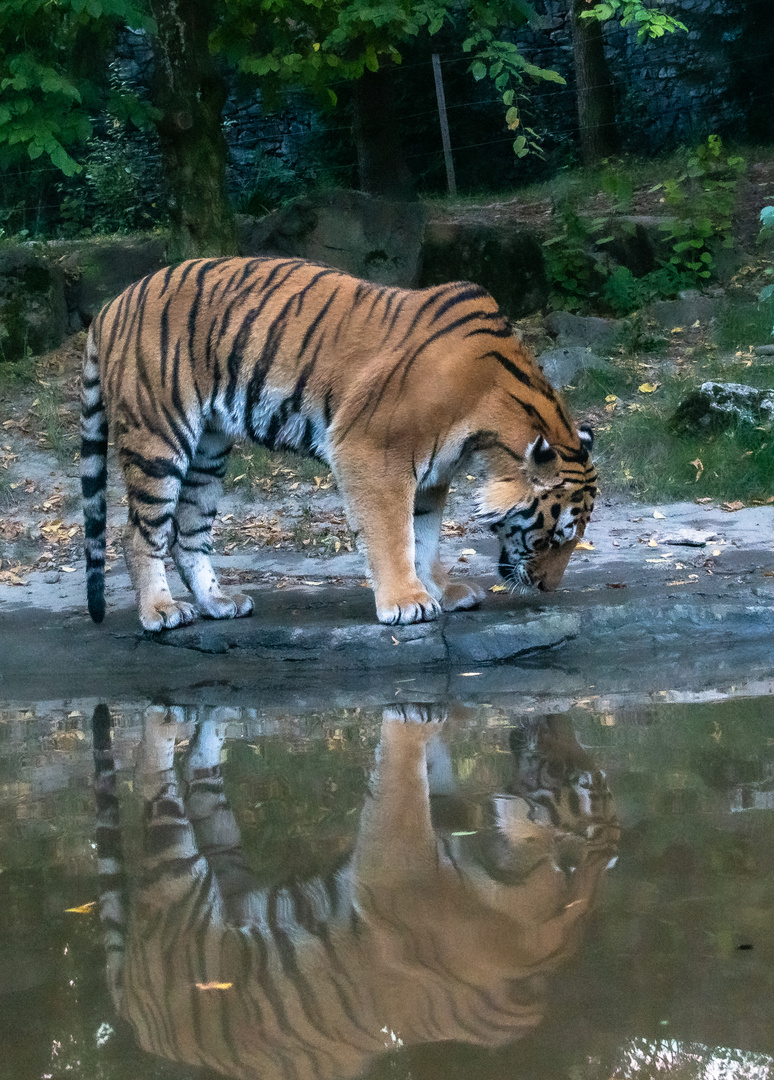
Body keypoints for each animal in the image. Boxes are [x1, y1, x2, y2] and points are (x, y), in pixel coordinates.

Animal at [81, 259, 595, 630]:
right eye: (556, 535)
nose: (548, 589)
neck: (488, 426)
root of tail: (110, 306)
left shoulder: (434, 474)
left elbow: (425, 536)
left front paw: (442, 592)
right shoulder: (372, 451)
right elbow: (393, 536)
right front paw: (407, 603)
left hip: (208, 450)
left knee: (188, 533)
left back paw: (218, 602)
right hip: (157, 438)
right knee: (138, 535)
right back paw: (161, 612)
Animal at [92, 699, 617, 1080]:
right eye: (570, 775)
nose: (555, 717)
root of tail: (131, 1017)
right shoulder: (400, 857)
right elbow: (407, 777)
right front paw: (421, 717)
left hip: (219, 870)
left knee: (197, 778)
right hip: (178, 886)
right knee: (146, 767)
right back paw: (166, 719)